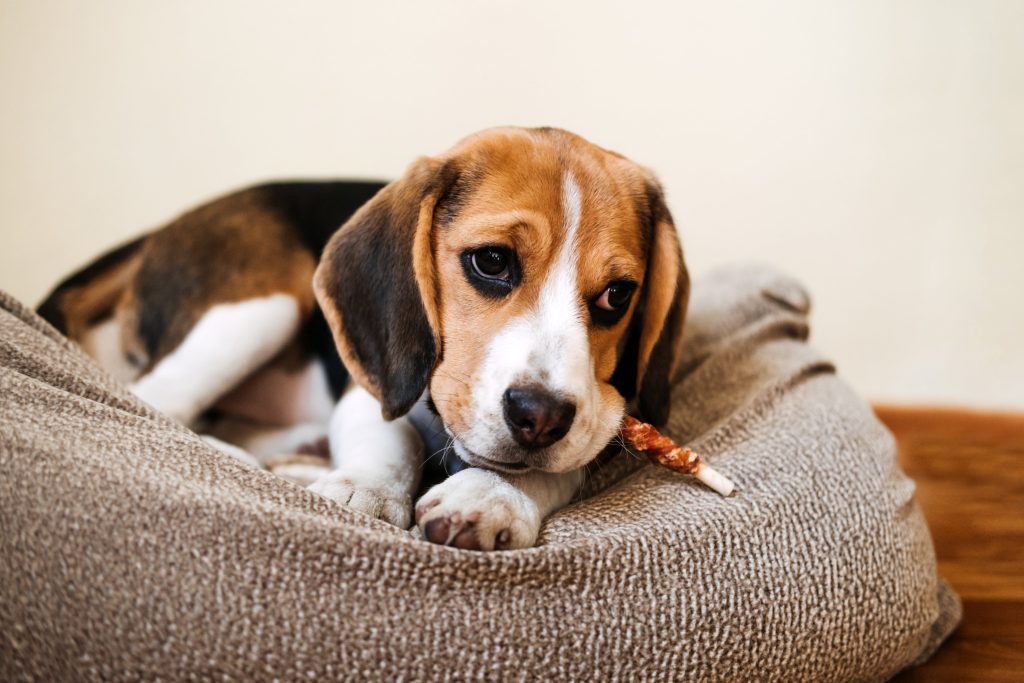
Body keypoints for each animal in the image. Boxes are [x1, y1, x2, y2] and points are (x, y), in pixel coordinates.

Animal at [41, 127, 696, 552]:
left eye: (617, 296)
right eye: (492, 261)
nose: (539, 416)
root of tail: (158, 232)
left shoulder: (605, 415)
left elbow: (557, 465)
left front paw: (488, 497)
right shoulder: (374, 388)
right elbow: (391, 438)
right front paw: (366, 491)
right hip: (263, 306)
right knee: (158, 403)